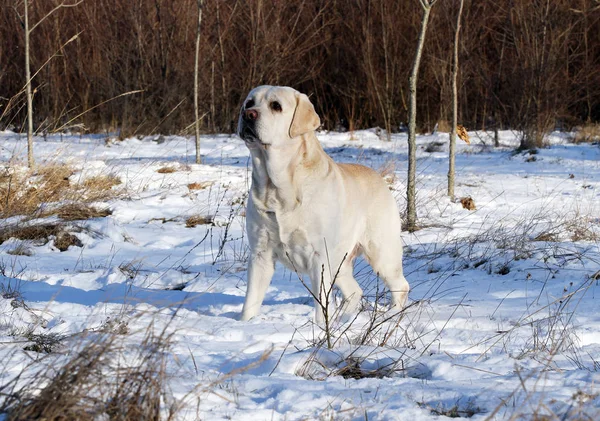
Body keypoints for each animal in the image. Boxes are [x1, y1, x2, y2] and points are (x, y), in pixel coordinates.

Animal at [237, 85, 410, 322]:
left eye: (276, 106)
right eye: (249, 103)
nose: (248, 114)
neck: (277, 187)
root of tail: (378, 177)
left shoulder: (319, 255)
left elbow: (322, 302)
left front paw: (320, 328)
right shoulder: (260, 254)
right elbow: (250, 302)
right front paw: (246, 324)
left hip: (382, 253)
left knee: (401, 286)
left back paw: (391, 316)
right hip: (341, 262)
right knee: (355, 291)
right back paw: (344, 318)